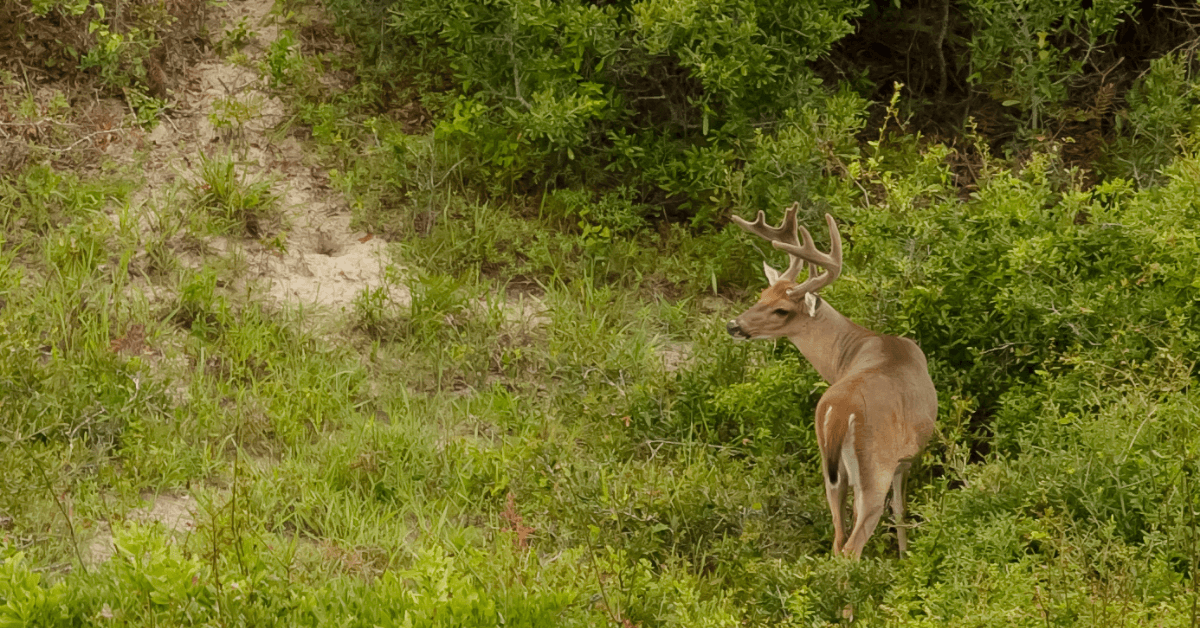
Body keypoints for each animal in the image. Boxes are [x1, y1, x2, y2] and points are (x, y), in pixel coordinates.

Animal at [720, 202, 936, 559]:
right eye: (762, 295)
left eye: (779, 307)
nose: (733, 325)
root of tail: (840, 411)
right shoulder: (906, 459)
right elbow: (900, 509)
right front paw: (906, 557)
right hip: (874, 467)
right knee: (852, 544)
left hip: (830, 470)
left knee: (837, 536)